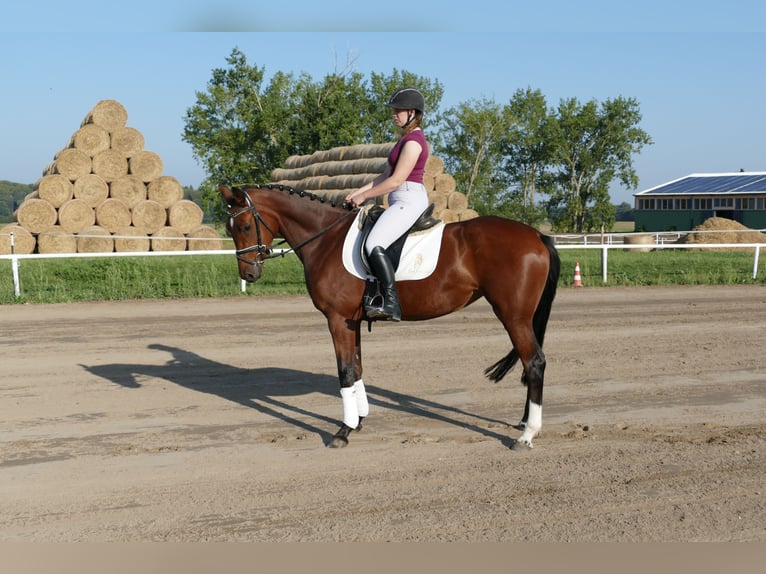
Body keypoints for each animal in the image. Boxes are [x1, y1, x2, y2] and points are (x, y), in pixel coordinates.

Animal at [219, 184, 560, 450]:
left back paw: (527, 435)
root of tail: (537, 236)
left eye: (244, 226)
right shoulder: (352, 321)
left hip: (513, 316)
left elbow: (345, 371)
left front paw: (343, 431)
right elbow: (357, 368)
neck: (326, 238)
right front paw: (358, 421)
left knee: (534, 362)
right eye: (229, 229)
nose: (249, 274)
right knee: (530, 364)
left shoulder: (337, 319)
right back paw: (524, 423)